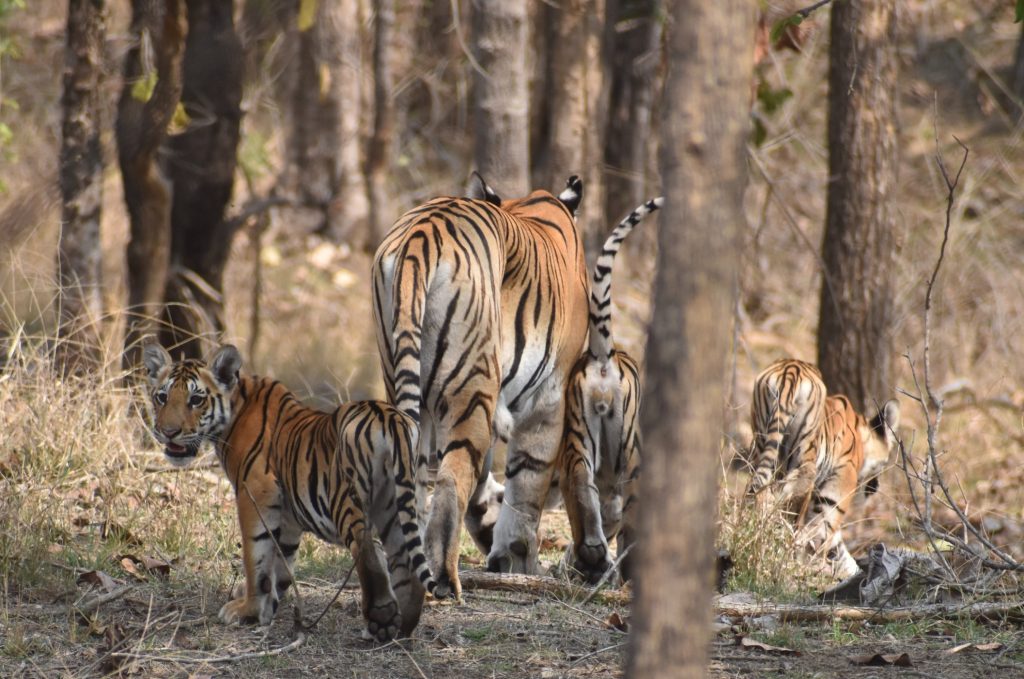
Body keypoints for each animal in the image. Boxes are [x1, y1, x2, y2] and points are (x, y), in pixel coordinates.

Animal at [141, 346, 436, 643]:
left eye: (196, 399)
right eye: (162, 397)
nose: (168, 433)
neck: (235, 407)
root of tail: (388, 416)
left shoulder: (256, 492)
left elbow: (256, 557)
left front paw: (247, 609)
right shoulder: (288, 512)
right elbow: (282, 560)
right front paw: (268, 605)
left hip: (346, 496)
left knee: (367, 549)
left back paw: (381, 619)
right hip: (396, 501)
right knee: (405, 557)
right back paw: (403, 625)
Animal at [372, 174, 589, 593]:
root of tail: (421, 233)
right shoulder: (549, 398)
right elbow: (527, 483)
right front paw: (519, 560)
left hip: (407, 384)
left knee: (419, 478)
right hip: (469, 387)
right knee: (452, 479)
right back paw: (444, 577)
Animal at [557, 196, 659, 585]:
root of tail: (602, 355)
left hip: (580, 438)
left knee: (583, 490)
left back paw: (592, 554)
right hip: (624, 455)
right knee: (615, 506)